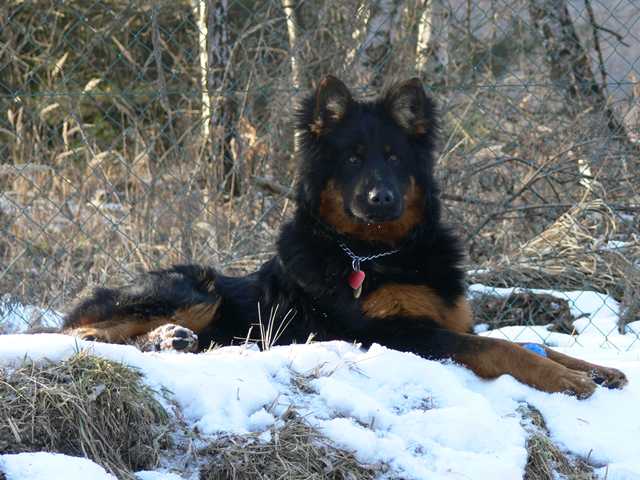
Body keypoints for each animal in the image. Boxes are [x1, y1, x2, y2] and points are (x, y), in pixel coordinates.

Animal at [63, 76, 627, 398]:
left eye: (394, 158)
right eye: (353, 159)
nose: (382, 198)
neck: (379, 252)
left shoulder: (450, 320)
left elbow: (534, 344)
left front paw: (595, 368)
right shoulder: (395, 334)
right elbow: (499, 349)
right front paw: (567, 381)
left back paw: (174, 340)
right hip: (196, 287)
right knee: (82, 334)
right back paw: (161, 337)